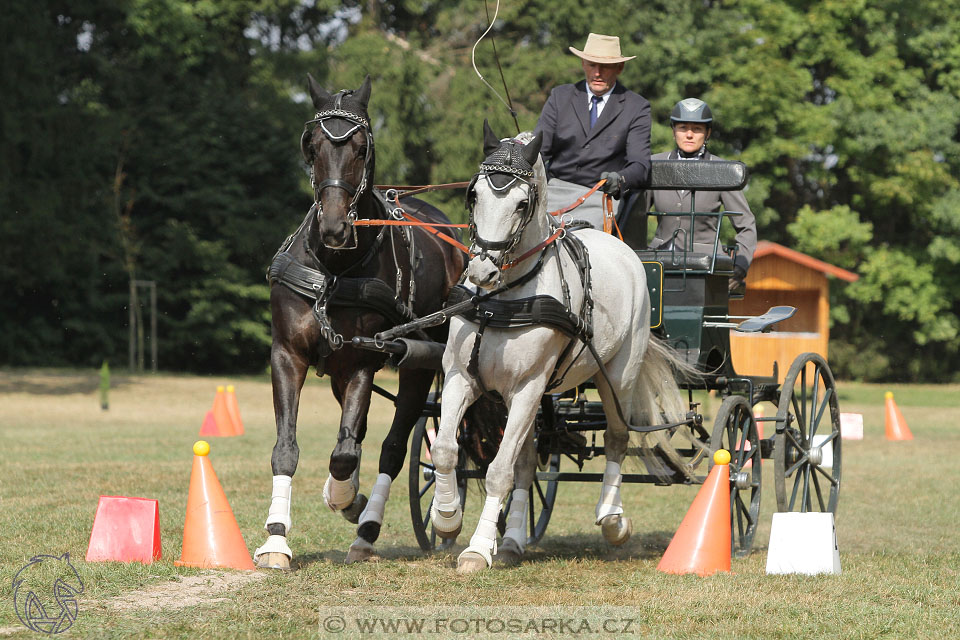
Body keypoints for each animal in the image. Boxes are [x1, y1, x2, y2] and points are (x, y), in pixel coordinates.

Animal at [255, 76, 464, 568]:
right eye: (311, 145)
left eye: (361, 147)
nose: (334, 227)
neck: (335, 271)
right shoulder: (288, 355)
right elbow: (288, 449)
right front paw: (277, 539)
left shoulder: (363, 362)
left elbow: (346, 453)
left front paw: (344, 498)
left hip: (418, 364)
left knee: (392, 447)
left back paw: (369, 528)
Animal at [430, 122, 688, 572]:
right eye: (474, 194)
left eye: (522, 203)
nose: (481, 271)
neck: (501, 298)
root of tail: (627, 253)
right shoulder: (462, 377)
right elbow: (447, 449)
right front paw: (447, 519)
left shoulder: (528, 387)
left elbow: (498, 471)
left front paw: (476, 550)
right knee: (527, 460)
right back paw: (512, 540)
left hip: (617, 377)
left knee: (617, 438)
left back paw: (613, 521)